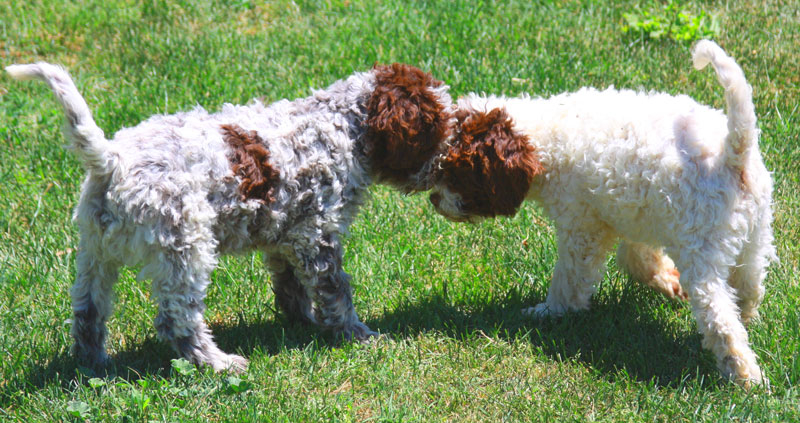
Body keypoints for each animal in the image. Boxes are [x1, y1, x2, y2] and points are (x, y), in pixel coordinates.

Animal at [7, 62, 456, 372]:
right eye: (435, 127)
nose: (441, 169)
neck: (341, 124)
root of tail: (112, 161)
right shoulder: (317, 234)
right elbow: (336, 291)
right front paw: (357, 334)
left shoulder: (285, 234)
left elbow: (290, 285)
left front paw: (302, 321)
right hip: (184, 247)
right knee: (177, 319)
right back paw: (217, 363)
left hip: (95, 252)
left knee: (88, 312)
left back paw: (95, 364)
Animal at [432, 41, 776, 390]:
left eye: (459, 172)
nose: (434, 199)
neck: (542, 137)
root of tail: (732, 152)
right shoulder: (635, 214)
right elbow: (637, 257)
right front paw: (667, 282)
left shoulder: (581, 226)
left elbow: (569, 277)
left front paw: (550, 311)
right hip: (754, 235)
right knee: (749, 286)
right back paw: (747, 320)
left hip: (702, 250)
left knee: (720, 317)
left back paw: (746, 378)